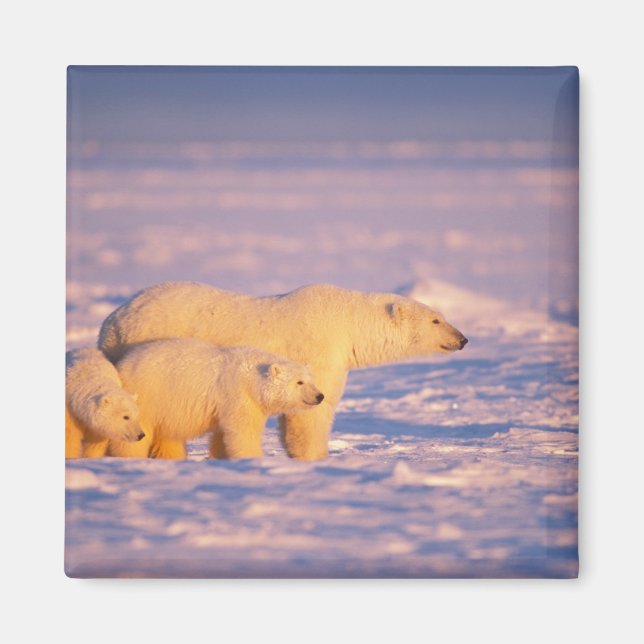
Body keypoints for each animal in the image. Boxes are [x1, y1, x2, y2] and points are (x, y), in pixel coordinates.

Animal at [107, 338, 325, 460]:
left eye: (310, 380)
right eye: (299, 382)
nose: (319, 396)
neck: (251, 378)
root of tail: (122, 365)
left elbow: (223, 435)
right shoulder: (238, 395)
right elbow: (243, 431)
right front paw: (252, 458)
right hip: (149, 396)